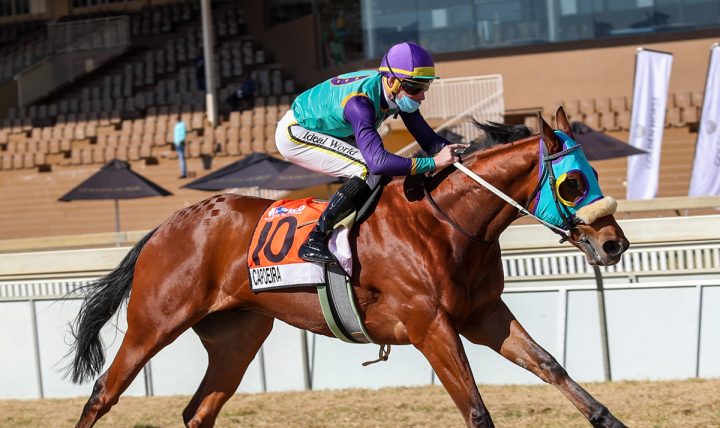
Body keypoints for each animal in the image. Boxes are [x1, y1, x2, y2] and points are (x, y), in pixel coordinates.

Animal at [69, 108, 632, 428]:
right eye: (573, 183)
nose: (614, 245)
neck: (443, 222)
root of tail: (170, 223)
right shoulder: (431, 327)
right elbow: (476, 408)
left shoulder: (483, 315)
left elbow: (553, 368)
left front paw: (609, 418)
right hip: (153, 324)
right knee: (101, 395)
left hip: (237, 338)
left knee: (198, 411)